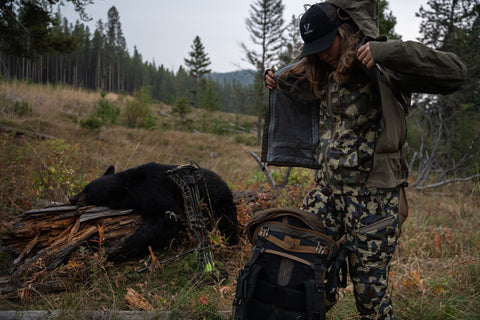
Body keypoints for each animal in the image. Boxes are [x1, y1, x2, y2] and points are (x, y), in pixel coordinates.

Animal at [69, 162, 238, 258]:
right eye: (85, 187)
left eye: (89, 194)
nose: (72, 198)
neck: (134, 184)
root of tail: (227, 185)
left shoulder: (155, 191)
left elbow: (168, 219)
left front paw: (125, 248)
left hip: (217, 203)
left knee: (227, 223)